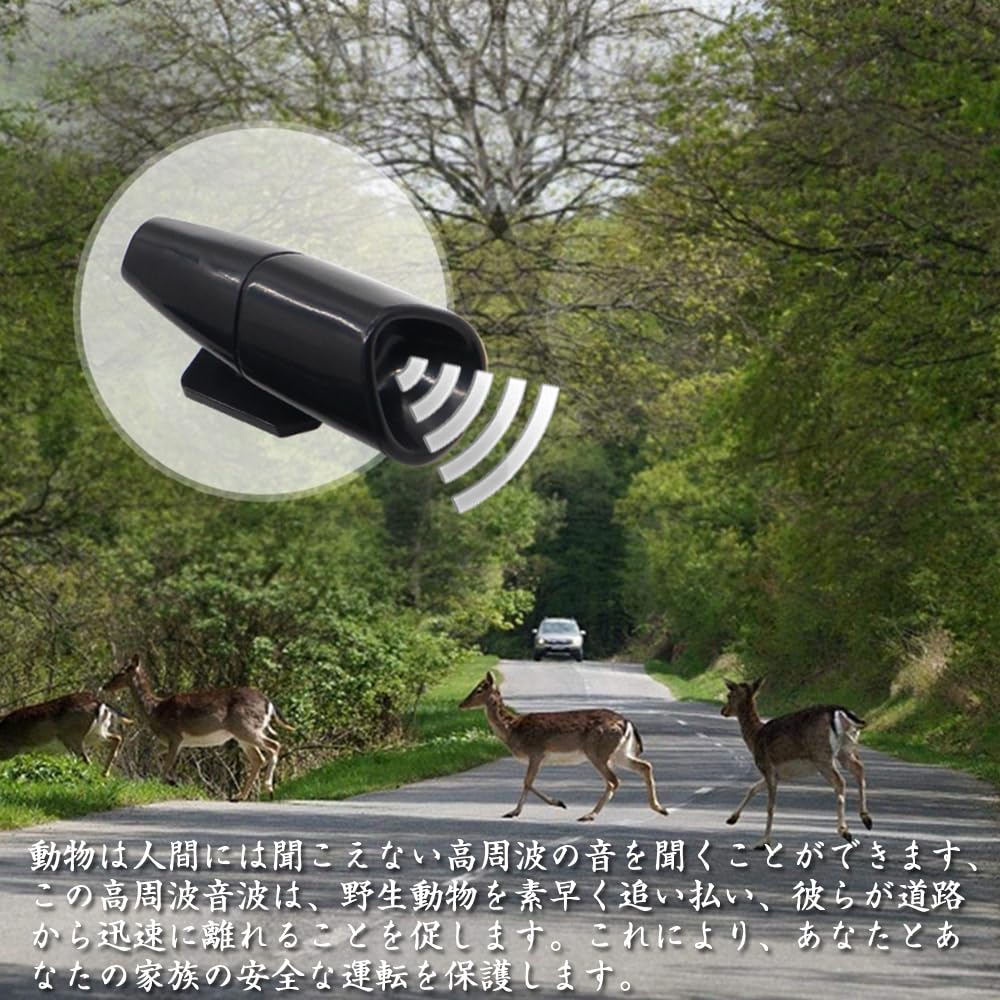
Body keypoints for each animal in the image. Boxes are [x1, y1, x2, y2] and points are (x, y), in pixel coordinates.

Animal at [0, 693, 133, 776]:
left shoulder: (9, 750)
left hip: (73, 737)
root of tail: (99, 703)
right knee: (116, 738)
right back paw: (105, 773)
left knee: (86, 760)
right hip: (96, 733)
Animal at [102, 654, 293, 800]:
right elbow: (156, 756)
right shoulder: (166, 741)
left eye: (121, 672)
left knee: (274, 745)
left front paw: (166, 782)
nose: (105, 686)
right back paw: (240, 796)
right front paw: (171, 781)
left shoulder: (175, 736)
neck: (155, 710)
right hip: (242, 734)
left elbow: (166, 765)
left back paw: (268, 789)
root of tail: (268, 703)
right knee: (258, 758)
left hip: (246, 727)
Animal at [459, 671, 669, 822]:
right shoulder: (538, 756)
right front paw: (514, 811)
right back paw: (660, 808)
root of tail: (626, 722)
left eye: (479, 689)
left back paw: (589, 815)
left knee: (613, 780)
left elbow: (527, 782)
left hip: (597, 750)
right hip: (618, 752)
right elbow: (528, 783)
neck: (513, 730)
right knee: (645, 766)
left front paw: (556, 803)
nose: (461, 704)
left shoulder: (536, 752)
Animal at [720, 677, 872, 848]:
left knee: (840, 781)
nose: (723, 710)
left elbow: (770, 806)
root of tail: (839, 711)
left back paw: (845, 831)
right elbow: (752, 789)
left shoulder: (766, 766)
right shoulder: (776, 774)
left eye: (729, 695)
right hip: (845, 750)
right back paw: (866, 819)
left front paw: (764, 841)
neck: (755, 738)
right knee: (859, 768)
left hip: (821, 755)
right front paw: (731, 819)